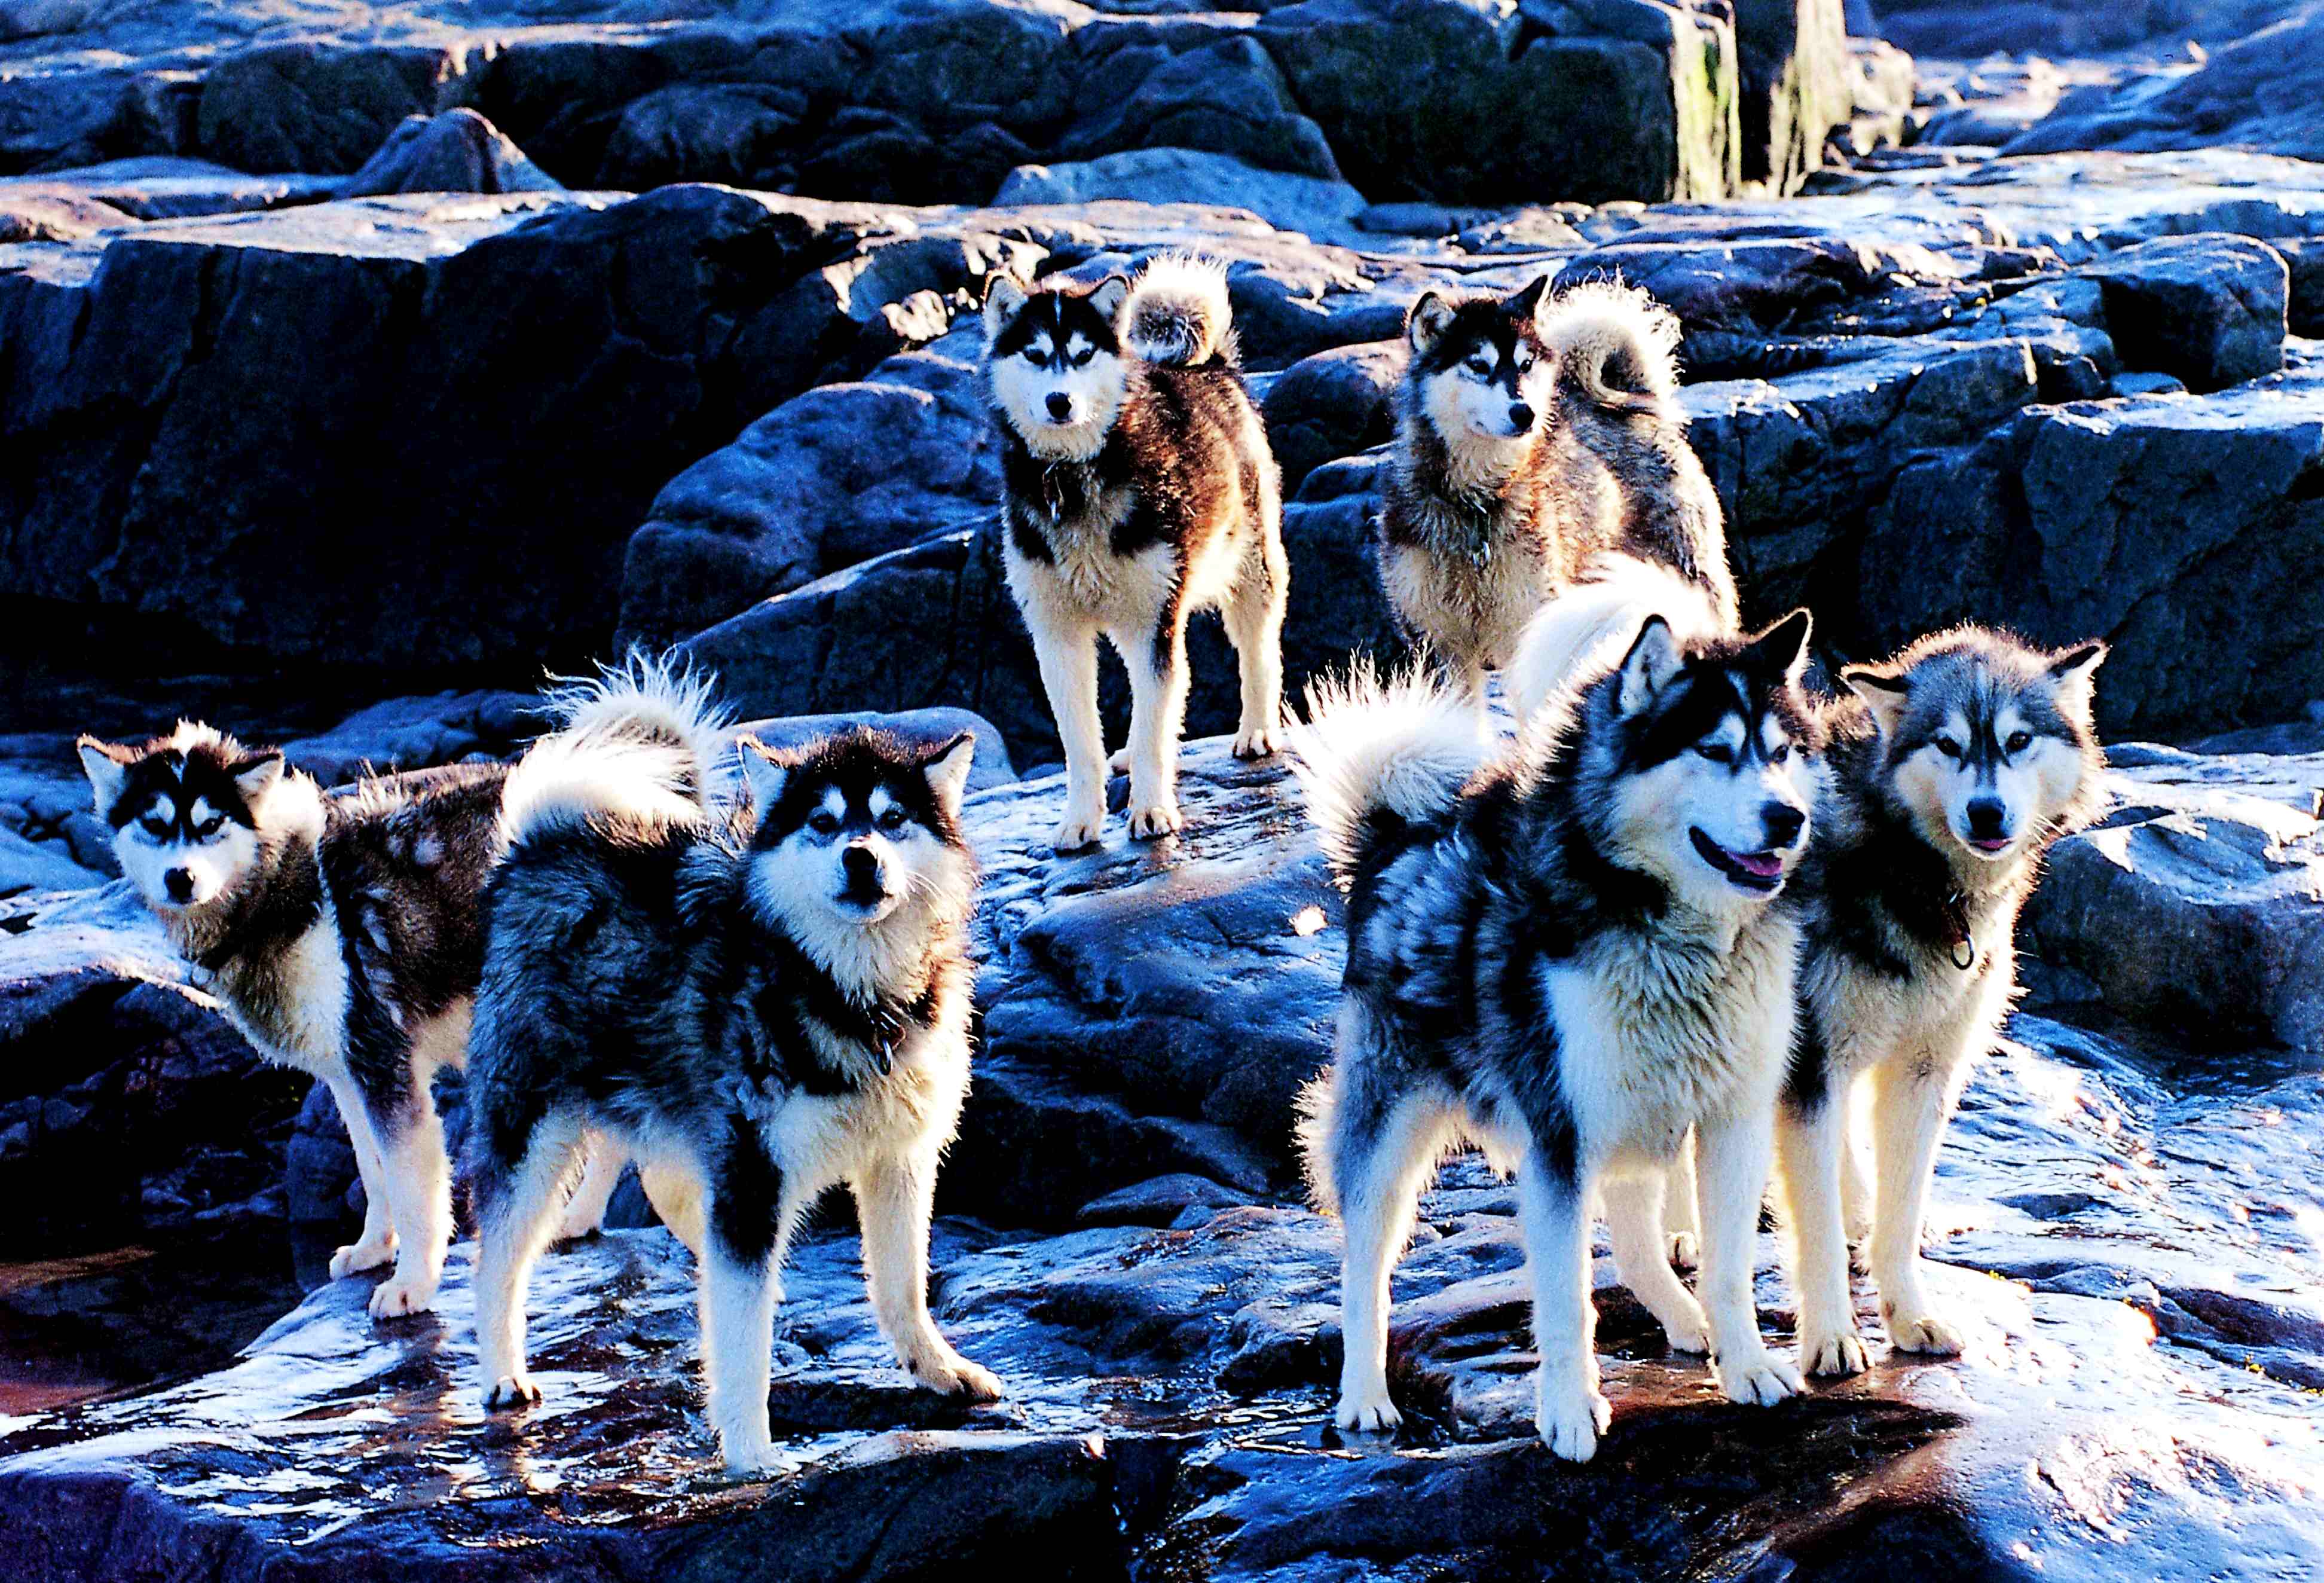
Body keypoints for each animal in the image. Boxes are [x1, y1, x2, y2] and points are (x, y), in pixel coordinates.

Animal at [77, 720, 613, 1311]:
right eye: (154, 825)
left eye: (210, 824)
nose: (181, 878)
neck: (288, 891)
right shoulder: (346, 1074)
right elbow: (372, 1172)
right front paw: (375, 1247)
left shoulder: (384, 1063)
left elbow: (410, 1188)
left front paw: (412, 1282)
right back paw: (582, 1216)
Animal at [457, 674, 995, 1469]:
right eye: (823, 822)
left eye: (892, 819)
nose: (861, 857)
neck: (848, 991)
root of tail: (545, 842)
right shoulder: (752, 1175)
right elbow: (744, 1337)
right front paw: (750, 1449)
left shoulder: (899, 1156)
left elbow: (901, 1287)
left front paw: (938, 1367)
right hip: (532, 1132)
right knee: (499, 1257)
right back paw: (502, 1370)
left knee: (677, 1203)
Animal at [980, 253, 1292, 846]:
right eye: (1036, 355)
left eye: (1083, 355)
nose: (1060, 401)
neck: (1071, 477)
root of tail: (1210, 367)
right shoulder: (1057, 635)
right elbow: (1080, 742)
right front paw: (1081, 818)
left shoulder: (1155, 625)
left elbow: (1156, 726)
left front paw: (1150, 810)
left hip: (1249, 568)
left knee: (1258, 649)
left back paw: (1258, 729)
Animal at [1301, 600, 1822, 1459]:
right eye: (1714, 750)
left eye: (1781, 755)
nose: (1789, 818)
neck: (1666, 929)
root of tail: (1393, 837)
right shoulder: (1558, 1137)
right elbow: (1566, 1295)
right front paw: (1571, 1409)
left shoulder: (1732, 1119)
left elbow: (1727, 1264)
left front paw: (1747, 1364)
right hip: (1390, 1134)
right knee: (1363, 1267)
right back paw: (1364, 1395)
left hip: (1639, 1114)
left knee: (1641, 1246)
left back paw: (1688, 1321)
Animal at [1766, 627, 2119, 1367]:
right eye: (1948, 744)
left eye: (2018, 740)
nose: (1987, 810)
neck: (1911, 869)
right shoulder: (1808, 1069)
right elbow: (1813, 1225)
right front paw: (1831, 1335)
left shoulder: (1924, 1072)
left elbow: (1901, 1215)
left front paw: (1910, 1315)